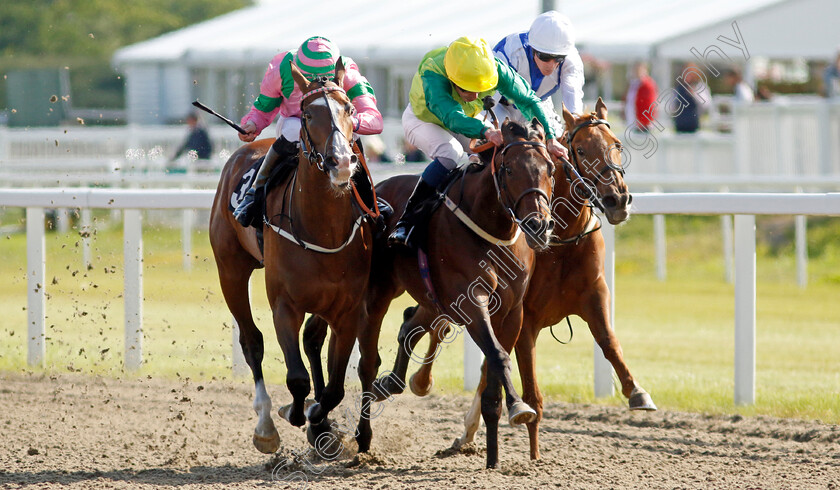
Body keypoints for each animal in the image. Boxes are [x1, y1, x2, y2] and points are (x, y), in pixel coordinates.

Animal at [207, 60, 374, 456]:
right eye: (308, 113)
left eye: (349, 109)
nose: (341, 162)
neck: (322, 229)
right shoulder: (284, 305)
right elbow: (297, 378)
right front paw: (296, 413)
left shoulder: (347, 310)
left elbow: (334, 387)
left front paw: (321, 424)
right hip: (230, 270)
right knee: (252, 341)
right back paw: (266, 425)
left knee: (312, 341)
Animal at [300, 117, 556, 468]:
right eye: (508, 169)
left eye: (550, 168)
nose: (538, 226)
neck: (490, 228)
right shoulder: (473, 302)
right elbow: (498, 356)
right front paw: (519, 408)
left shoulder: (511, 311)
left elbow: (492, 372)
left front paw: (493, 456)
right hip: (375, 294)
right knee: (360, 357)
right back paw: (352, 432)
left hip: (424, 295)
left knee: (404, 324)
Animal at [400, 98, 656, 460]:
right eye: (579, 149)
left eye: (617, 145)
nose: (617, 200)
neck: (561, 241)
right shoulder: (525, 317)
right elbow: (526, 385)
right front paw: (532, 452)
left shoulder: (594, 294)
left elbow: (609, 341)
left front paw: (637, 392)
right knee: (437, 327)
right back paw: (423, 382)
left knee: (427, 321)